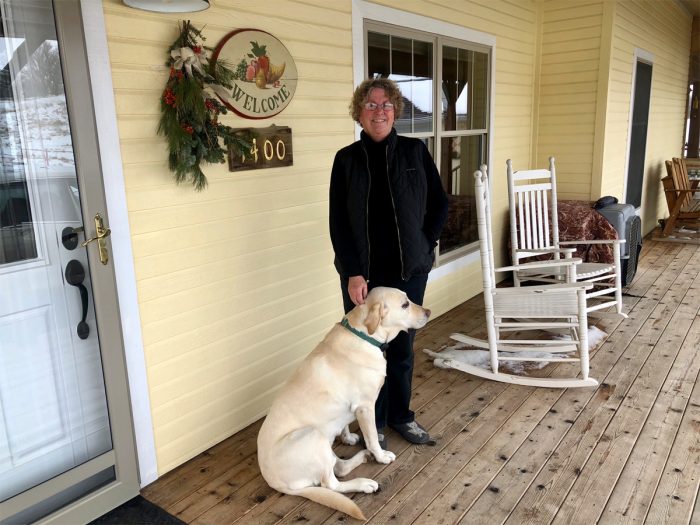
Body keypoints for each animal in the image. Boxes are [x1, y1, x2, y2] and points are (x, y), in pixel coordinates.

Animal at [258, 286, 430, 520]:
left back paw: (362, 457)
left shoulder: (349, 407)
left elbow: (345, 423)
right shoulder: (365, 406)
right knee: (331, 484)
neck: (366, 336)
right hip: (313, 435)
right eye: (405, 304)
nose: (429, 312)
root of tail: (274, 482)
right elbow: (373, 438)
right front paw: (381, 456)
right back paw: (365, 483)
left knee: (338, 467)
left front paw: (348, 438)